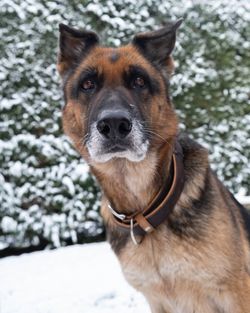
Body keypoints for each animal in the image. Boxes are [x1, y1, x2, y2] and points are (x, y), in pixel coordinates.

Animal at [56, 19, 250, 312]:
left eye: (139, 81)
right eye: (88, 84)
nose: (114, 124)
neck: (145, 208)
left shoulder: (236, 293)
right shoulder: (158, 301)